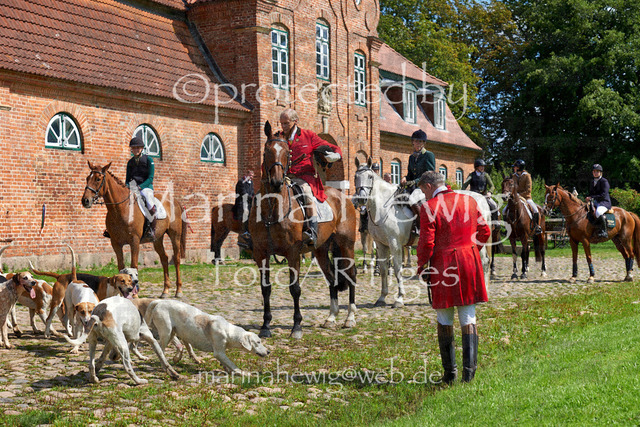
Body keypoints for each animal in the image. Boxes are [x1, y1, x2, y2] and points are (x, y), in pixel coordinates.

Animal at [81, 162, 186, 297]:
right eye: (87, 178)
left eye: (98, 179)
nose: (85, 200)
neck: (121, 208)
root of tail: (175, 201)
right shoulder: (115, 243)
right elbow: (121, 266)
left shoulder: (134, 241)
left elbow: (134, 265)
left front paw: (135, 294)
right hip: (157, 238)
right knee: (164, 258)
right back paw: (165, 291)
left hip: (175, 235)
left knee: (177, 259)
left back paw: (178, 291)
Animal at [248, 122, 358, 339]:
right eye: (267, 151)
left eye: (287, 153)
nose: (276, 182)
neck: (273, 207)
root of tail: (342, 196)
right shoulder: (261, 254)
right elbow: (265, 289)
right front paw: (265, 325)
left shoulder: (293, 253)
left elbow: (295, 289)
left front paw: (297, 326)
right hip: (321, 250)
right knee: (332, 279)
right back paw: (331, 318)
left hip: (347, 246)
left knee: (351, 276)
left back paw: (350, 318)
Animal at [353, 158, 492, 307]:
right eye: (355, 177)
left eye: (370, 177)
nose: (361, 199)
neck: (384, 207)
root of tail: (481, 198)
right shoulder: (380, 244)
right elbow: (384, 270)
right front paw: (382, 297)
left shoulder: (395, 244)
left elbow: (397, 269)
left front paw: (399, 298)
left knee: (484, 261)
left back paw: (484, 293)